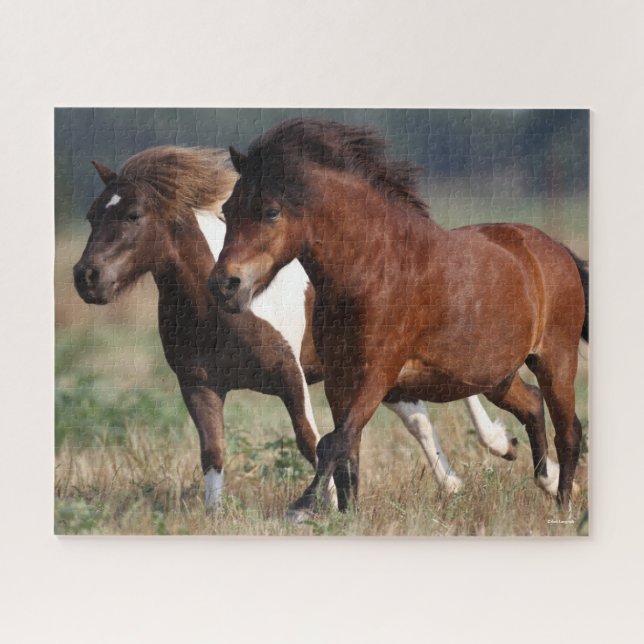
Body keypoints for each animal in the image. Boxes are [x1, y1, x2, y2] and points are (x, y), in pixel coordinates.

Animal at [72, 145, 519, 510]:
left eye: (133, 215)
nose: (86, 278)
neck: (220, 310)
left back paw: (499, 444)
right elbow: (213, 452)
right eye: (92, 215)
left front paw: (325, 506)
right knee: (417, 417)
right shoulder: (199, 384)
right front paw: (215, 515)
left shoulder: (291, 376)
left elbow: (310, 440)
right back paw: (454, 483)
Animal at [211, 118, 588, 517]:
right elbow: (348, 451)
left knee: (569, 431)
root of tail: (556, 249)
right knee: (532, 404)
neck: (372, 269)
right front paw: (346, 516)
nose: (224, 285)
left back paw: (563, 506)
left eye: (271, 211)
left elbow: (333, 442)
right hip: (496, 376)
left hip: (555, 360)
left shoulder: (377, 375)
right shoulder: (339, 379)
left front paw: (301, 509)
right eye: (228, 210)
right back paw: (545, 481)